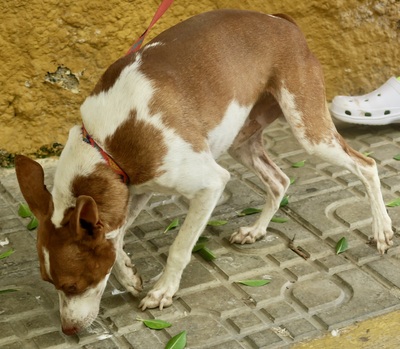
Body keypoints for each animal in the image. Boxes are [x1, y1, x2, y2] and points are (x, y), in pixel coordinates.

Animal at [14, 8, 394, 334]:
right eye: (49, 283)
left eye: (72, 284)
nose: (67, 330)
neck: (107, 142)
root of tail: (281, 21)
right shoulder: (132, 189)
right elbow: (117, 238)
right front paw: (129, 275)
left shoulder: (208, 184)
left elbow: (179, 247)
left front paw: (162, 290)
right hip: (242, 139)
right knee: (279, 180)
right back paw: (255, 231)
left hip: (309, 130)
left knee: (367, 165)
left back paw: (381, 230)